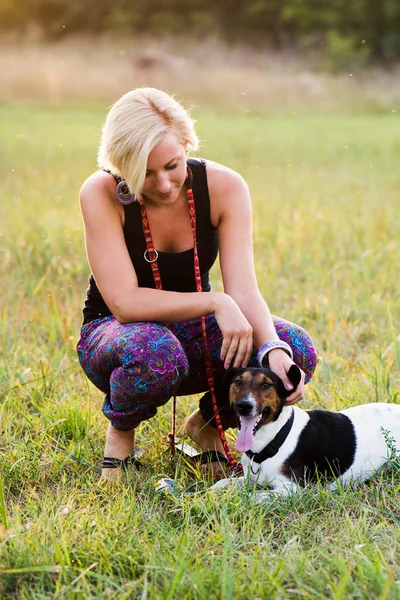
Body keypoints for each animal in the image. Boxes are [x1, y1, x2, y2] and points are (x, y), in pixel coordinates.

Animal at [211, 366, 400, 496]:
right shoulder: (249, 479)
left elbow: (252, 497)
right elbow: (222, 483)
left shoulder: (291, 489)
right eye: (237, 382)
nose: (244, 406)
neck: (274, 439)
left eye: (266, 385)